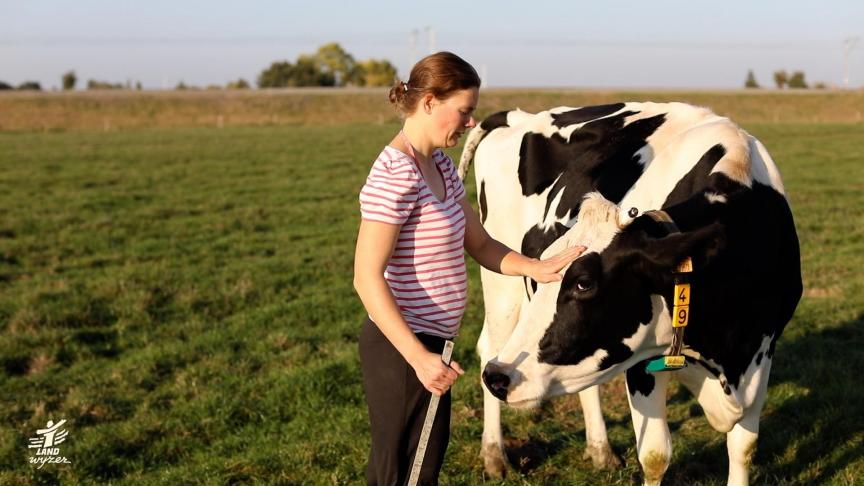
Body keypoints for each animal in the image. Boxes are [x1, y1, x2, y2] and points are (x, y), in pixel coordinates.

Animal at [460, 100, 804, 484]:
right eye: (543, 269)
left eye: (584, 283)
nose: (499, 378)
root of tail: (519, 115)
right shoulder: (641, 362)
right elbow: (655, 455)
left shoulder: (761, 351)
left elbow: (744, 448)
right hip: (500, 283)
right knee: (489, 346)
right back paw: (494, 454)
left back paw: (600, 449)